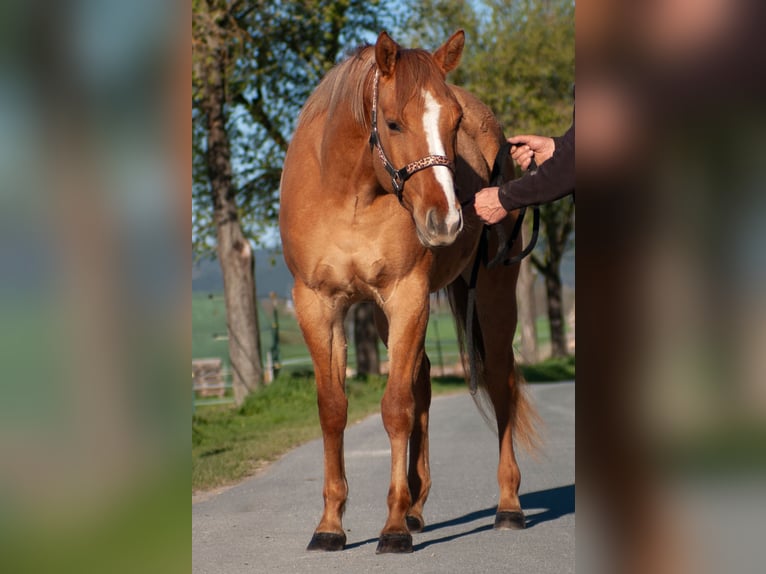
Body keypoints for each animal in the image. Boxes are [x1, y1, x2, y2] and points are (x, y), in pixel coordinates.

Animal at [279, 30, 537, 554]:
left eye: (454, 122)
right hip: (386, 317)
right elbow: (334, 409)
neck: (350, 195)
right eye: (394, 123)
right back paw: (418, 506)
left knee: (499, 383)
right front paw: (330, 525)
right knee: (423, 381)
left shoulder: (407, 296)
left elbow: (395, 408)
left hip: (493, 297)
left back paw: (507, 506)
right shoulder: (317, 305)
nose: (447, 220)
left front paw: (393, 527)